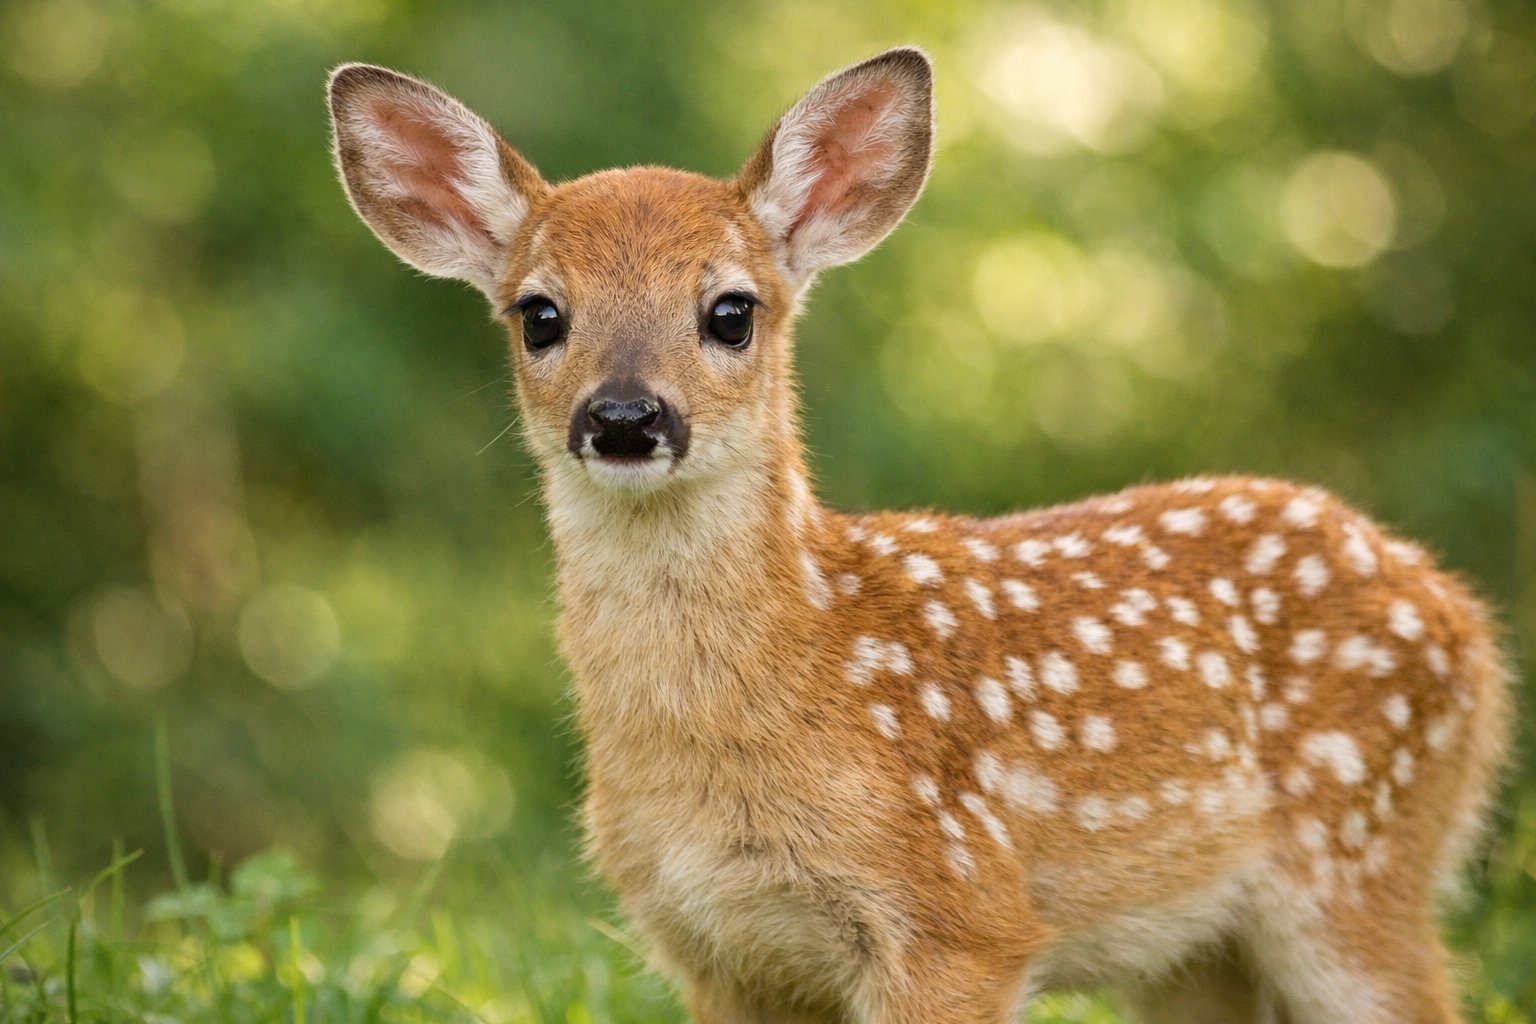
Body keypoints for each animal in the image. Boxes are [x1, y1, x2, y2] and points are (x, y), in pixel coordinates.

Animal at [328, 47, 1513, 1024]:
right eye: (539, 314)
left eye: (730, 311)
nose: (624, 418)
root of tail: (1465, 617)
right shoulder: (719, 949)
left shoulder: (958, 912)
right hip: (1198, 954)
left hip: (1356, 864)